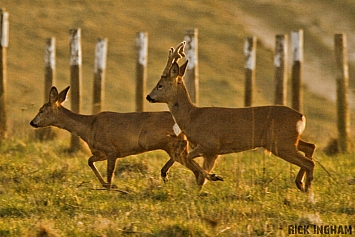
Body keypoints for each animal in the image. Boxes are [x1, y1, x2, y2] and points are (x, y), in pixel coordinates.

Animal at [31, 86, 214, 190]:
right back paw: (202, 179)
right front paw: (105, 185)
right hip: (170, 146)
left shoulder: (111, 150)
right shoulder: (101, 152)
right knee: (189, 161)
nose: (32, 122)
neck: (88, 127)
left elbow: (110, 171)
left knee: (184, 148)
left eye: (41, 110)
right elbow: (89, 161)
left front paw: (110, 187)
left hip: (163, 139)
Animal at [147, 41, 318, 192]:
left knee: (309, 163)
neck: (191, 117)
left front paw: (214, 177)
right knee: (310, 147)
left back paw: (308, 192)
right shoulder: (211, 152)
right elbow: (198, 177)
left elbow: (190, 159)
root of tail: (301, 117)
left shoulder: (210, 143)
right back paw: (300, 184)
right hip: (288, 140)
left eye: (160, 85)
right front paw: (200, 189)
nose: (149, 97)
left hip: (281, 142)